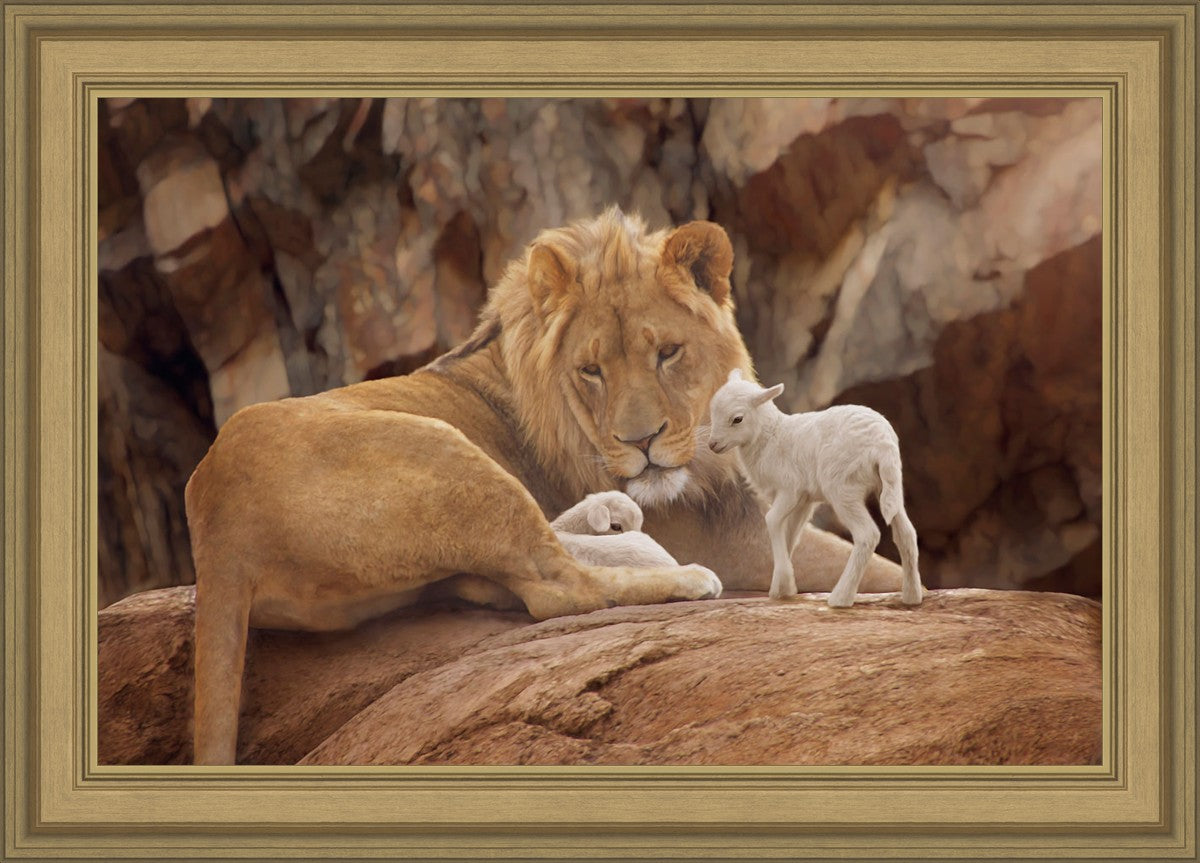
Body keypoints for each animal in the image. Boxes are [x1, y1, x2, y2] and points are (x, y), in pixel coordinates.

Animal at [707, 369, 922, 608]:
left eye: (737, 419)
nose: (712, 445)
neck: (771, 437)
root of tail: (883, 444)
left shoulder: (790, 489)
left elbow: (772, 520)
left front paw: (784, 583)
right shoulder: (804, 500)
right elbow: (790, 534)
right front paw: (782, 587)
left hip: (842, 487)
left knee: (867, 534)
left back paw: (840, 597)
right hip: (890, 485)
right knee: (906, 533)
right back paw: (912, 596)